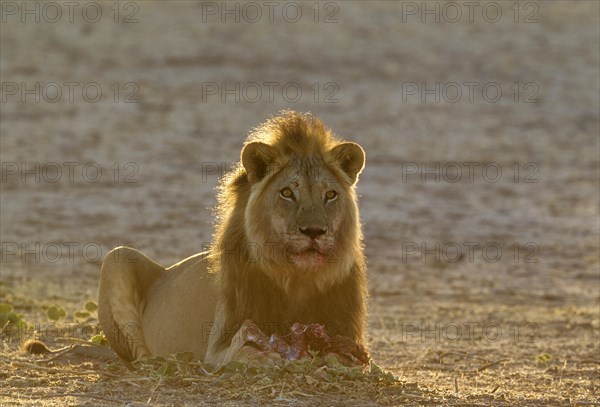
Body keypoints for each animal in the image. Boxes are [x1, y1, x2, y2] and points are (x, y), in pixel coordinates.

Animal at [96, 111, 368, 370]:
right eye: (287, 193)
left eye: (330, 195)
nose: (314, 231)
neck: (296, 280)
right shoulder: (216, 346)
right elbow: (240, 350)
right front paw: (265, 357)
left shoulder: (346, 331)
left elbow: (347, 354)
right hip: (118, 256)